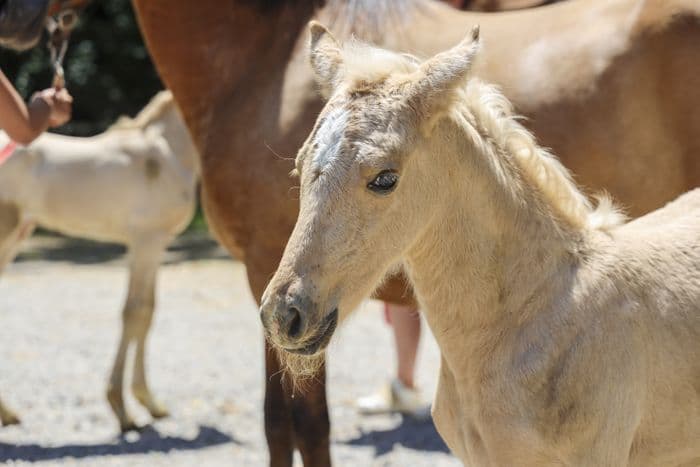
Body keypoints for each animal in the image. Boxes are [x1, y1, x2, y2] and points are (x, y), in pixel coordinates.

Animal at [0, 91, 199, 430]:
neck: (167, 151)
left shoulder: (155, 244)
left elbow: (147, 312)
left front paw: (150, 404)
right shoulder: (146, 240)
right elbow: (135, 312)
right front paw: (123, 410)